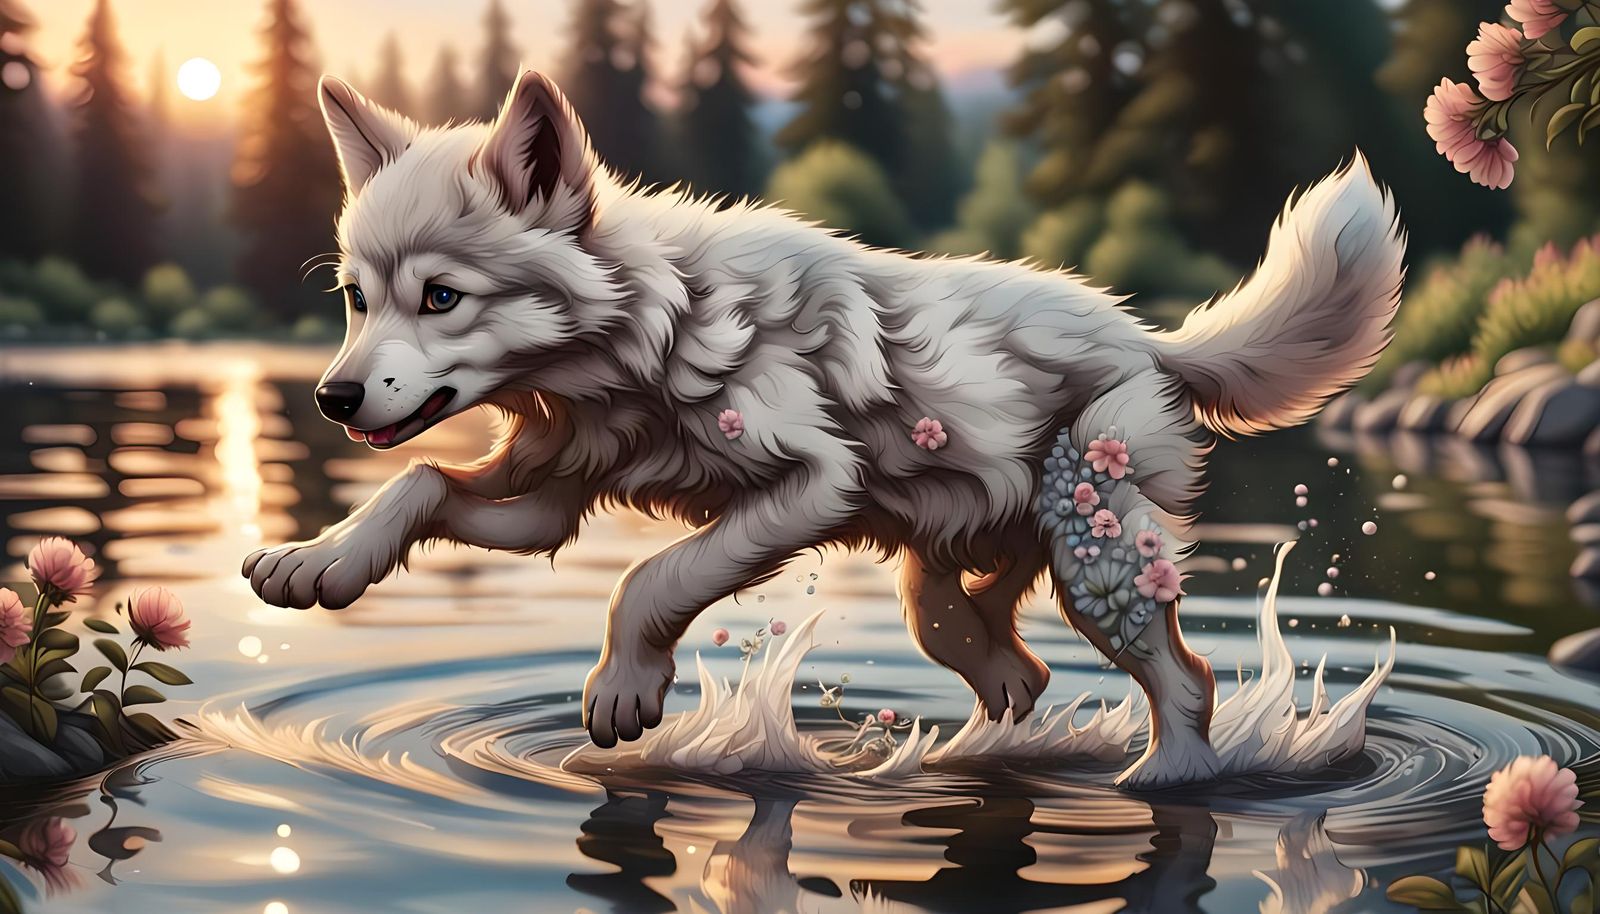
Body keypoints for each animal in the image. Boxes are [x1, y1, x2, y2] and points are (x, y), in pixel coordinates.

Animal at [243, 71, 1404, 787]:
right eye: (356, 299)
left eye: (442, 298)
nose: (333, 398)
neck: (647, 333)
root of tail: (1151, 340)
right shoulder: (547, 502)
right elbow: (420, 486)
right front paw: (317, 565)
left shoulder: (809, 483)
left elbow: (649, 580)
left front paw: (624, 690)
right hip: (941, 586)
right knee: (1014, 671)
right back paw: (962, 759)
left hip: (1098, 562)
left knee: (1184, 682)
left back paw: (1163, 779)